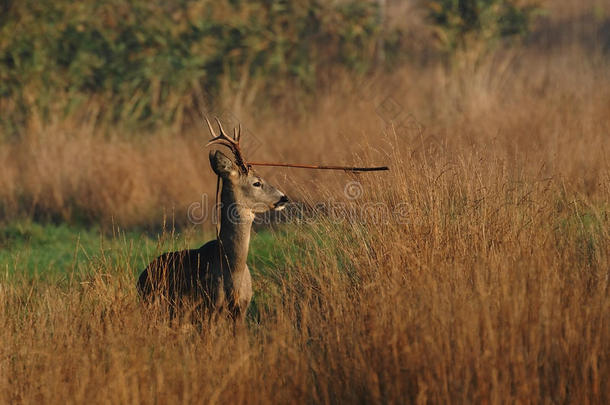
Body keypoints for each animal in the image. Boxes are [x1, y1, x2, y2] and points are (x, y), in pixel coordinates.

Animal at [138, 118, 288, 320]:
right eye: (257, 182)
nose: (284, 198)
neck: (231, 268)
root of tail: (141, 276)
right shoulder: (209, 308)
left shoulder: (242, 309)